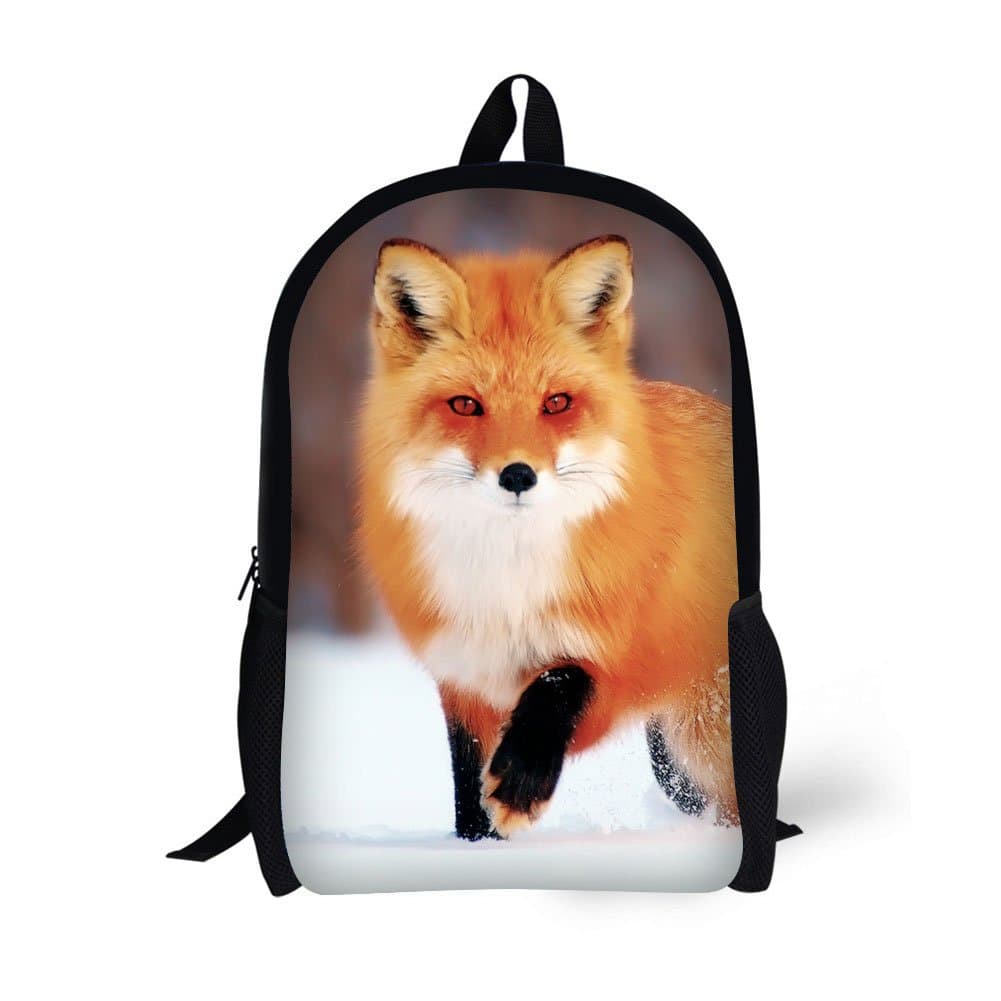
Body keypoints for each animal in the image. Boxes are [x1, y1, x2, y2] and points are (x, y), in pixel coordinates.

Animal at [356, 234, 739, 839]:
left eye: (556, 403)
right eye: (466, 405)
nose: (518, 475)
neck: (507, 589)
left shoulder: (620, 660)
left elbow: (560, 681)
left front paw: (521, 783)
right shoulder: (464, 676)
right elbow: (468, 791)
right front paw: (474, 847)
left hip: (696, 742)